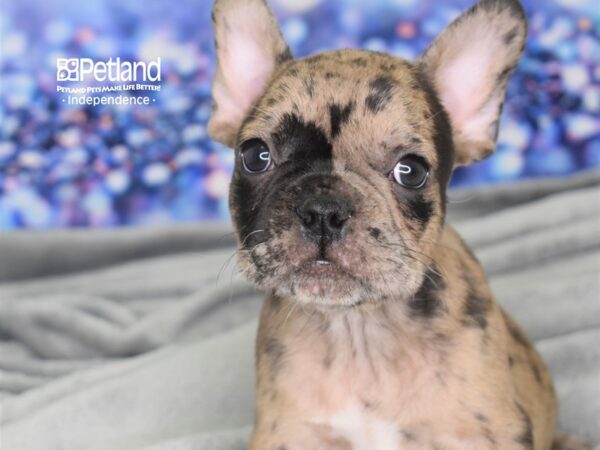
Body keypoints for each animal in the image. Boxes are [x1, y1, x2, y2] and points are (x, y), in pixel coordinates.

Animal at [207, 0, 592, 450]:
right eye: (255, 155)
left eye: (412, 171)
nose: (323, 209)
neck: (359, 329)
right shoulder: (287, 432)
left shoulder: (489, 433)